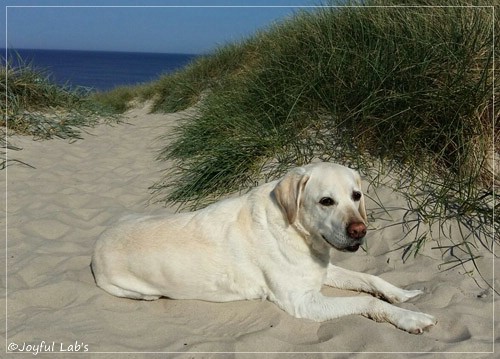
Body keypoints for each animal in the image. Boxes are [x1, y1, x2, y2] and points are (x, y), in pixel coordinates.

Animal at [92, 163, 436, 334]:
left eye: (356, 195)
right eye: (326, 201)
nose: (359, 232)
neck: (298, 232)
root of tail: (97, 242)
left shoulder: (321, 269)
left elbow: (370, 280)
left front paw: (403, 295)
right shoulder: (303, 302)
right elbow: (367, 301)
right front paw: (410, 318)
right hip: (125, 286)